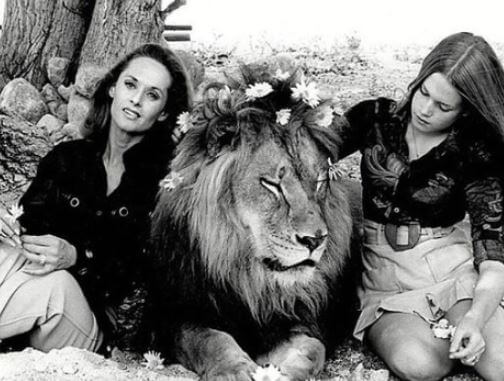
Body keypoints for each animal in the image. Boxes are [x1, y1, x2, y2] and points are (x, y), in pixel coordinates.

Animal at [148, 62, 360, 380]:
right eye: (272, 184)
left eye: (320, 182)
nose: (315, 240)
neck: (249, 278)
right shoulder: (176, 318)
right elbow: (210, 339)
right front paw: (235, 369)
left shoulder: (295, 321)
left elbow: (312, 349)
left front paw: (284, 373)